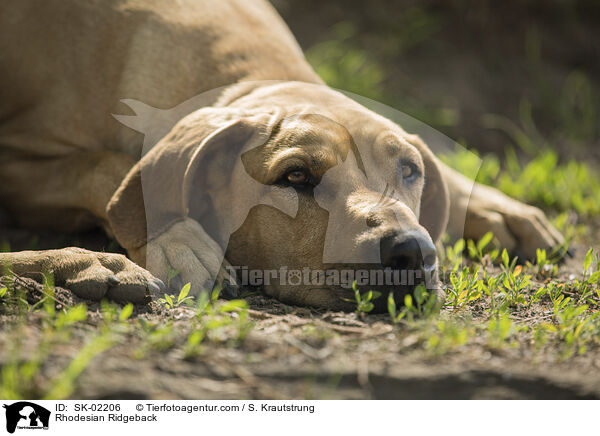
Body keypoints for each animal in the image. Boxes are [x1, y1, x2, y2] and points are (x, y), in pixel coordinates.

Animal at [0, 0, 564, 310]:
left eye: (409, 171)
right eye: (295, 176)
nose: (411, 253)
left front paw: (495, 206)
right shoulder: (17, 163)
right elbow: (111, 168)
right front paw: (178, 239)